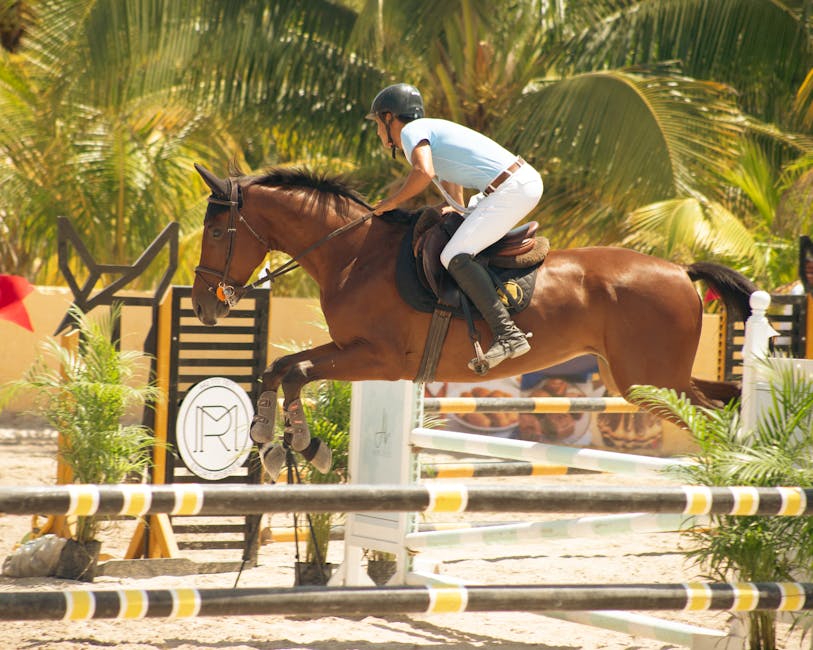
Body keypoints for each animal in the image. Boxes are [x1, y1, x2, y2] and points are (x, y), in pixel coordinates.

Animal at [190, 163, 757, 474]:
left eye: (216, 233)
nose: (202, 306)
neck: (353, 254)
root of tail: (680, 270)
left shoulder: (379, 359)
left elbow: (298, 373)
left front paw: (304, 446)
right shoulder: (352, 349)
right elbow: (280, 369)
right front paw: (272, 441)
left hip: (649, 380)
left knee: (714, 415)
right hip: (639, 379)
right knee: (726, 398)